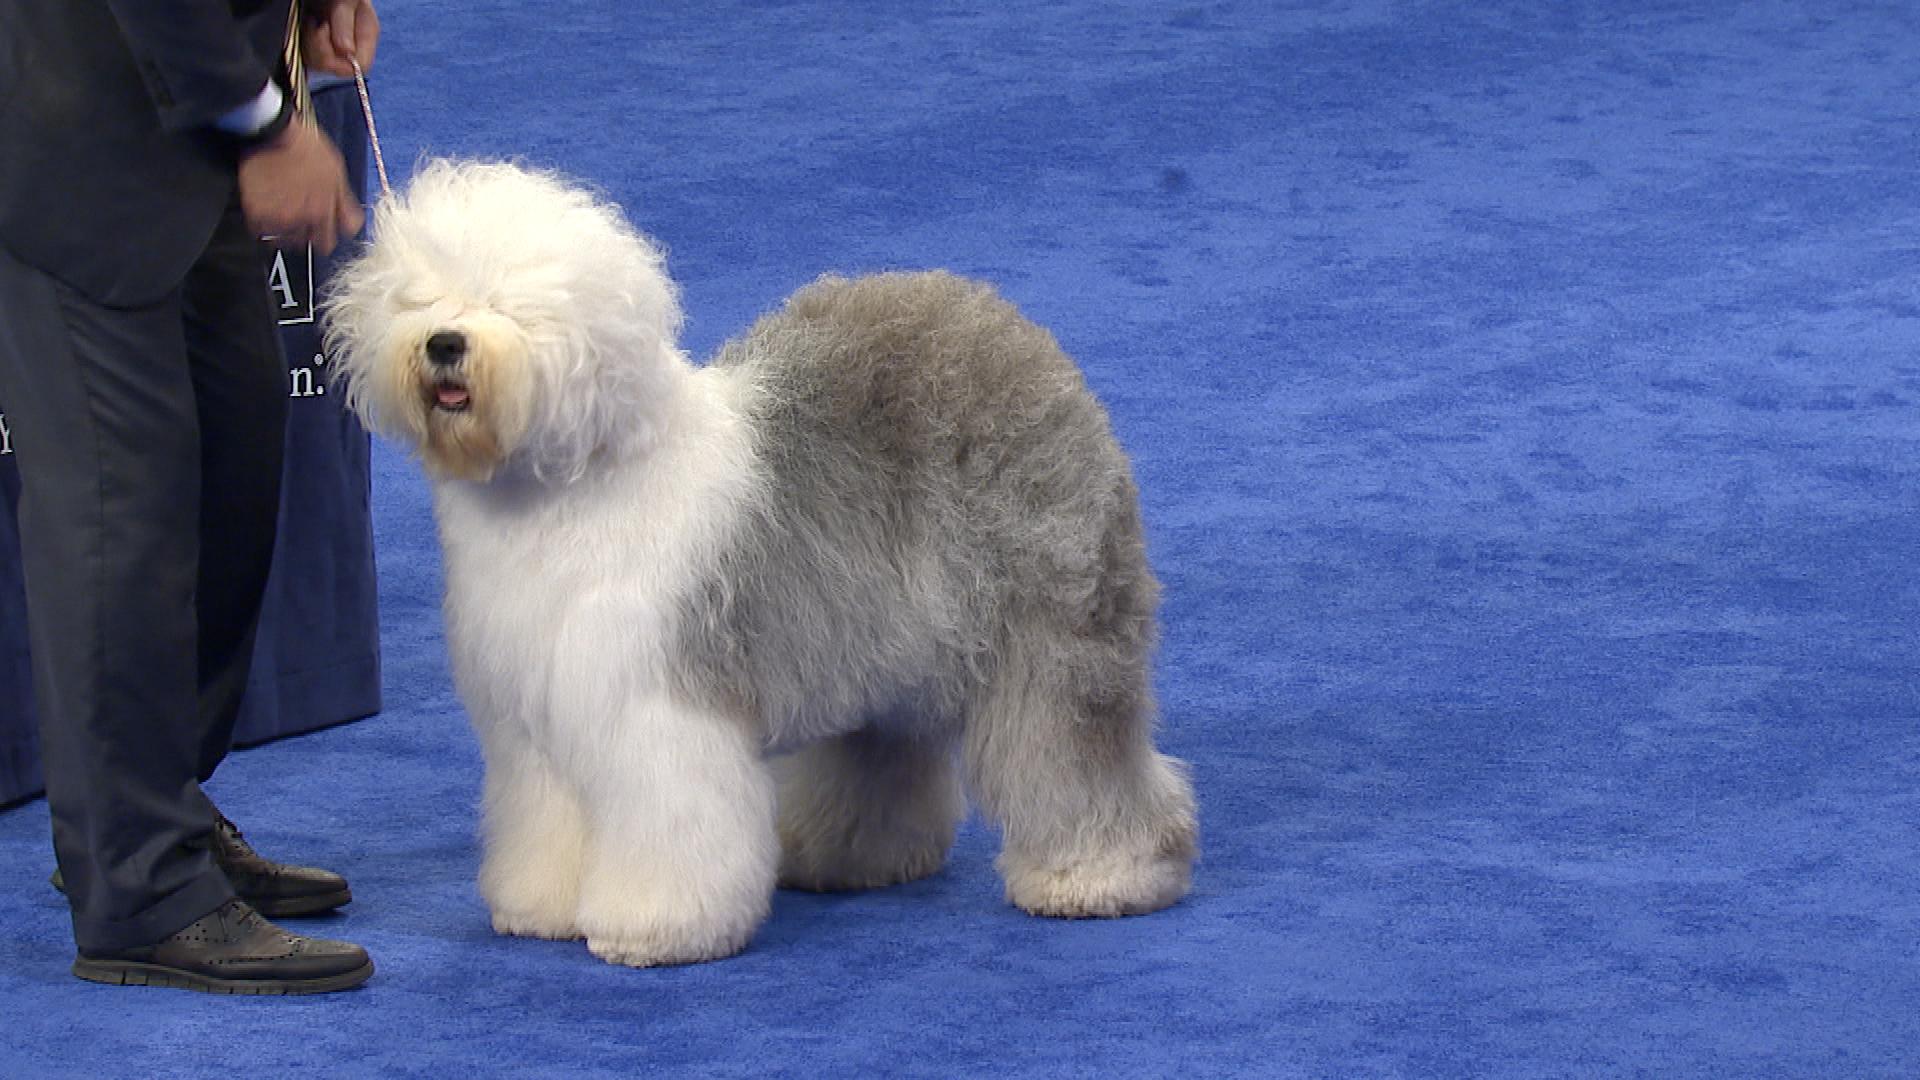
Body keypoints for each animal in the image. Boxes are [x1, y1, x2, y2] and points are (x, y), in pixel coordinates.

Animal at [326, 161, 1198, 968]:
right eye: (419, 299)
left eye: (513, 303)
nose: (445, 343)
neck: (569, 484)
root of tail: (1007, 325)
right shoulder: (536, 716)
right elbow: (547, 818)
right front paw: (539, 906)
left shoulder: (654, 705)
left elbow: (667, 819)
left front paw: (653, 927)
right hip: (884, 637)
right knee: (882, 750)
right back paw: (847, 856)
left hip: (1051, 627)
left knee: (1072, 747)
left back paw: (1102, 873)